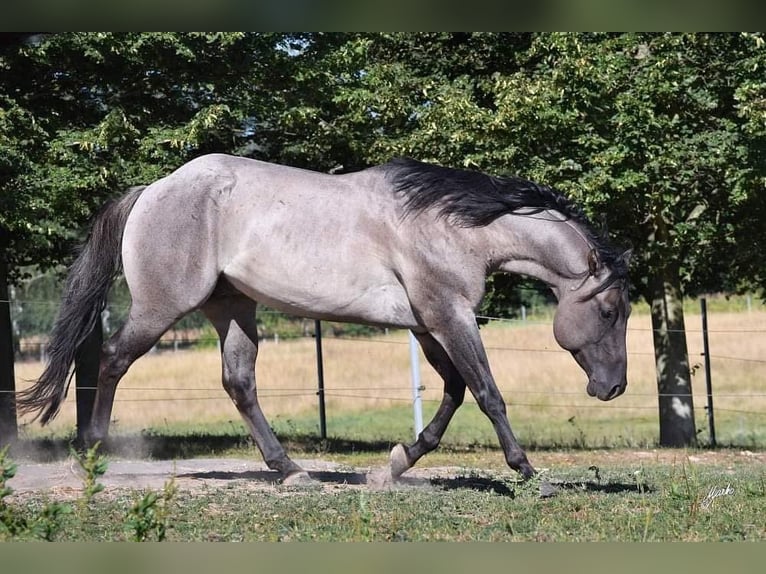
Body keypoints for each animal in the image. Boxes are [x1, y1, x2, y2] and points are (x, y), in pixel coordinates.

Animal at [17, 154, 631, 484]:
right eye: (608, 310)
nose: (614, 387)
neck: (453, 224)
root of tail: (153, 190)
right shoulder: (449, 315)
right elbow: (486, 392)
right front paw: (527, 472)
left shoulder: (428, 324)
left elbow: (455, 393)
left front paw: (396, 464)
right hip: (163, 306)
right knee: (112, 361)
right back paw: (94, 453)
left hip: (232, 308)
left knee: (239, 383)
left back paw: (291, 469)